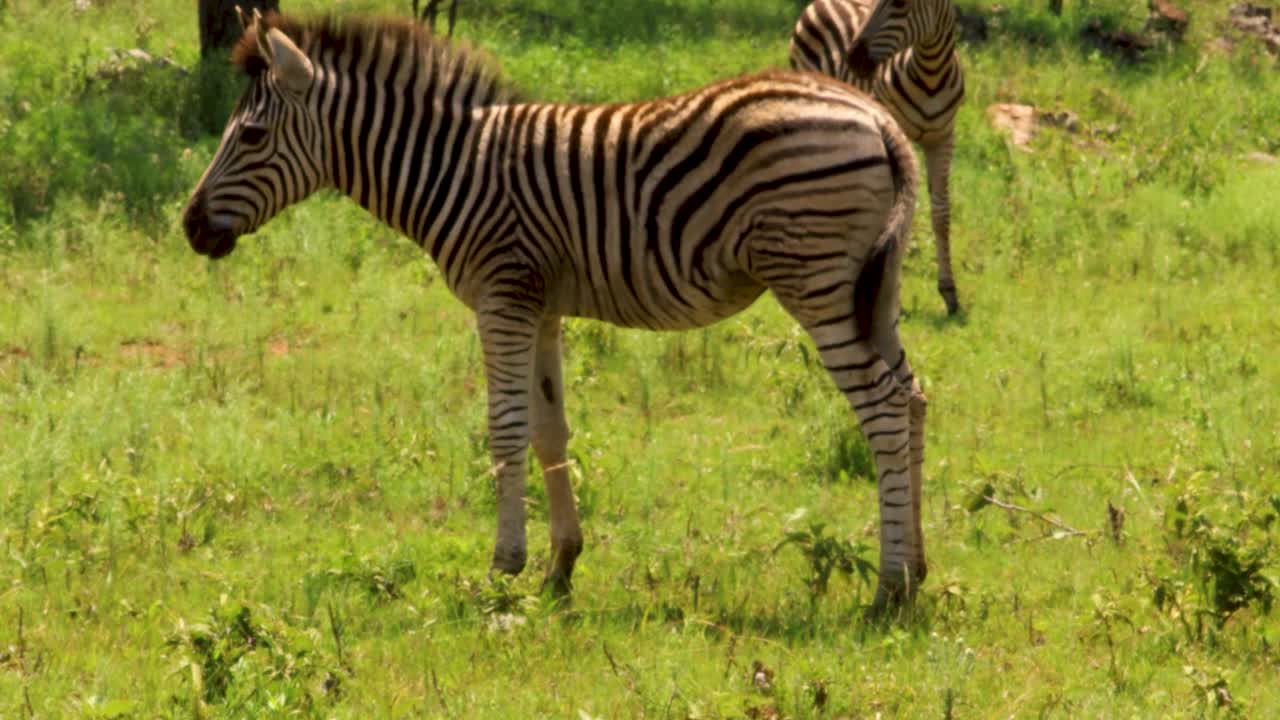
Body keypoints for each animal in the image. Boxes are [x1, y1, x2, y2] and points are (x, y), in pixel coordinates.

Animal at [182, 10, 929, 608]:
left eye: (250, 137)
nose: (189, 227)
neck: (452, 167)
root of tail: (877, 118)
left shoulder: (502, 296)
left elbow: (506, 430)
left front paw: (503, 566)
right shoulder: (539, 305)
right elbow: (550, 431)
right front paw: (561, 567)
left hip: (815, 280)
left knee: (883, 410)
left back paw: (887, 589)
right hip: (876, 286)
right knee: (914, 396)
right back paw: (918, 570)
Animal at [791, 0, 966, 315]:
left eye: (900, 4)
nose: (852, 58)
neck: (931, 74)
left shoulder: (943, 138)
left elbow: (941, 212)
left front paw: (949, 292)